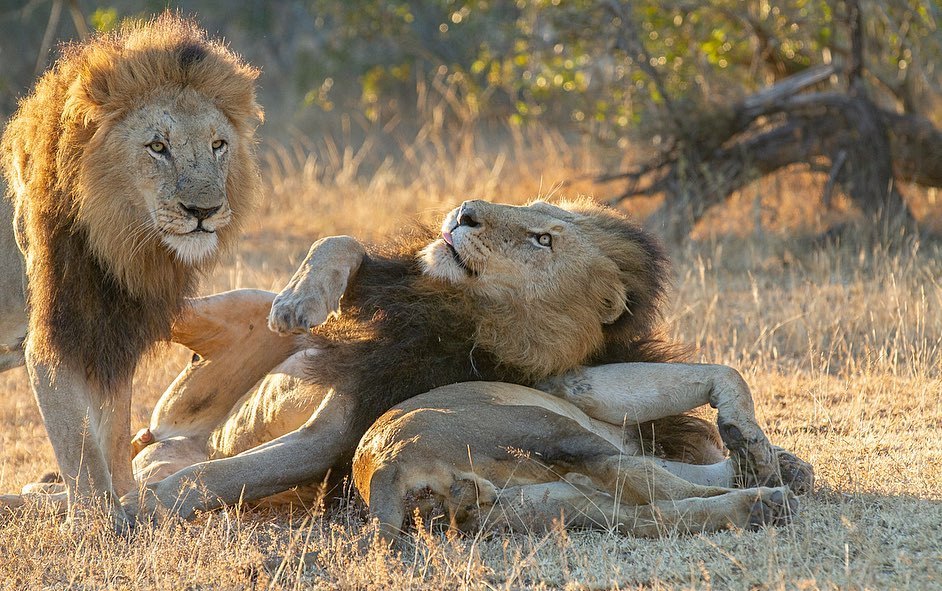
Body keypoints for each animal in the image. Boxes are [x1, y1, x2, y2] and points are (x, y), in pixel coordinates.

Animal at [0, 13, 262, 532]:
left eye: (218, 145)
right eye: (158, 146)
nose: (204, 210)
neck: (121, 241)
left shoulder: (112, 335)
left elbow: (115, 435)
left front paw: (128, 501)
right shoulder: (54, 339)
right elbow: (80, 448)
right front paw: (98, 522)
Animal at [121, 198, 816, 536]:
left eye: (544, 240)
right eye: (530, 208)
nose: (462, 212)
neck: (465, 313)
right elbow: (340, 243)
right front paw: (302, 301)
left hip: (554, 463)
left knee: (654, 495)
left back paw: (765, 493)